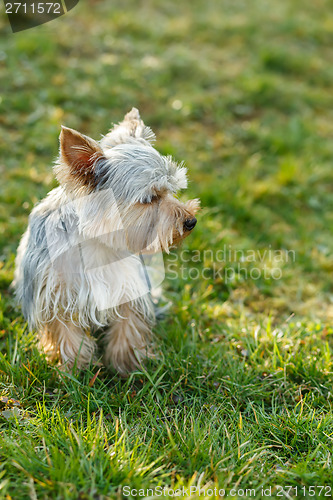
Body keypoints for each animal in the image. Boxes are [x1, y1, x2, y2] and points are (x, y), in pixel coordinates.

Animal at [14, 109, 198, 376]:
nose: (191, 221)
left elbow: (129, 326)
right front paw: (72, 370)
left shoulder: (130, 285)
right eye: (150, 198)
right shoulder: (55, 294)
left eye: (172, 191)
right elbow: (65, 334)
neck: (97, 243)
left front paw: (128, 366)